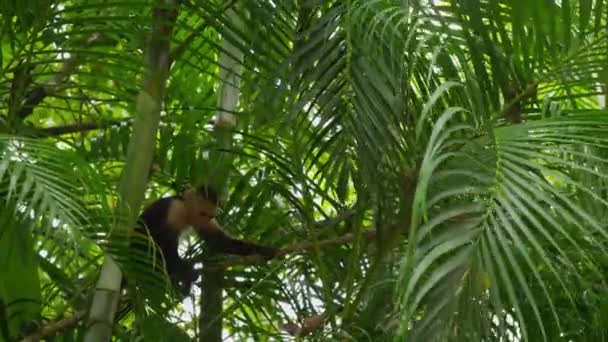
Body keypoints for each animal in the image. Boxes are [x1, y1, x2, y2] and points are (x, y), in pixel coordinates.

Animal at [133, 186, 280, 296]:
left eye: (209, 216)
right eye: (203, 213)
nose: (210, 217)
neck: (186, 211)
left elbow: (218, 241)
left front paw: (267, 251)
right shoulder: (175, 209)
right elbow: (160, 239)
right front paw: (183, 269)